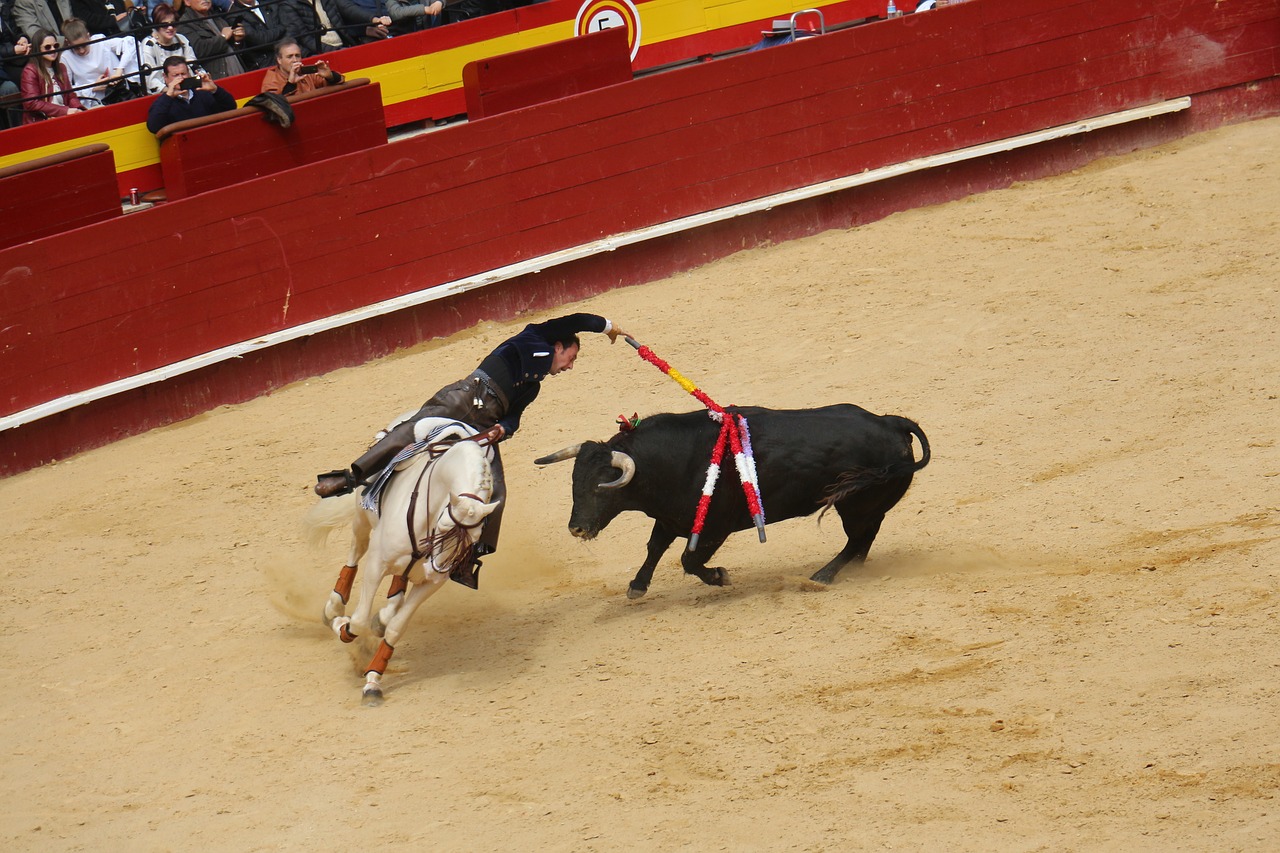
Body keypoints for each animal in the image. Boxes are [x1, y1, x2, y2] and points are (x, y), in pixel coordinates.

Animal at [302, 417, 496, 701]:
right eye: (444, 525)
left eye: (475, 537)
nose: (436, 569)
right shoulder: (376, 564)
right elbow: (358, 620)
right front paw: (341, 625)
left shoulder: (429, 585)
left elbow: (396, 627)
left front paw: (373, 680)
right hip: (361, 520)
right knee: (355, 554)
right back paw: (333, 609)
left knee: (397, 585)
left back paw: (384, 612)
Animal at [532, 402, 931, 594]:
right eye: (574, 482)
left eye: (603, 485)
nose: (577, 528)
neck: (671, 460)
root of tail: (890, 421)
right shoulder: (672, 517)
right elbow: (655, 548)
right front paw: (637, 586)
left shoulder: (713, 527)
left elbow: (689, 560)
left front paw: (720, 577)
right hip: (866, 506)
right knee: (865, 539)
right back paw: (850, 570)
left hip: (856, 505)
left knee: (857, 538)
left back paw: (823, 575)